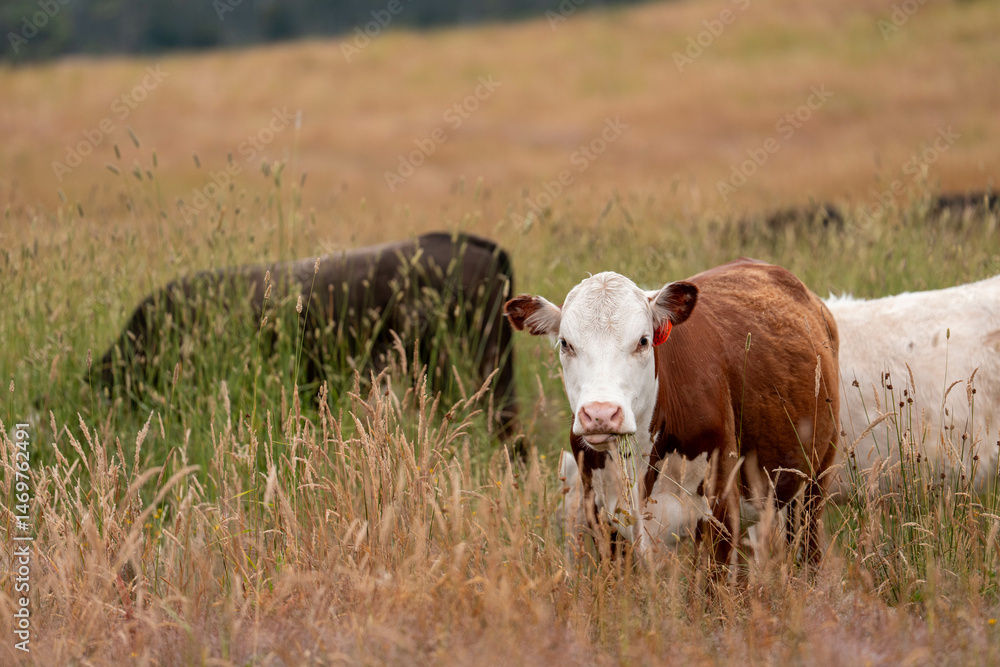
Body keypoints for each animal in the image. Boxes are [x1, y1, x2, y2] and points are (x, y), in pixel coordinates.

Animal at [507, 258, 840, 569]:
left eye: (643, 341)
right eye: (566, 344)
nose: (601, 414)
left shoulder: (720, 510)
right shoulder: (602, 517)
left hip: (815, 479)